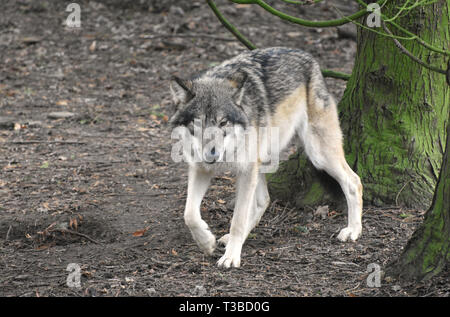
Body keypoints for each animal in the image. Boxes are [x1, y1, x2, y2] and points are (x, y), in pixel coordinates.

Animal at [169, 47, 362, 266]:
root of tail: (307, 55)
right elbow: (189, 214)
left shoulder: (246, 170)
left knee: (354, 181)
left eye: (223, 122)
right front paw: (206, 243)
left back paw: (353, 230)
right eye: (198, 123)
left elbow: (237, 219)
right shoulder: (200, 168)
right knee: (264, 200)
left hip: (318, 154)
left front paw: (231, 257)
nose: (212, 155)